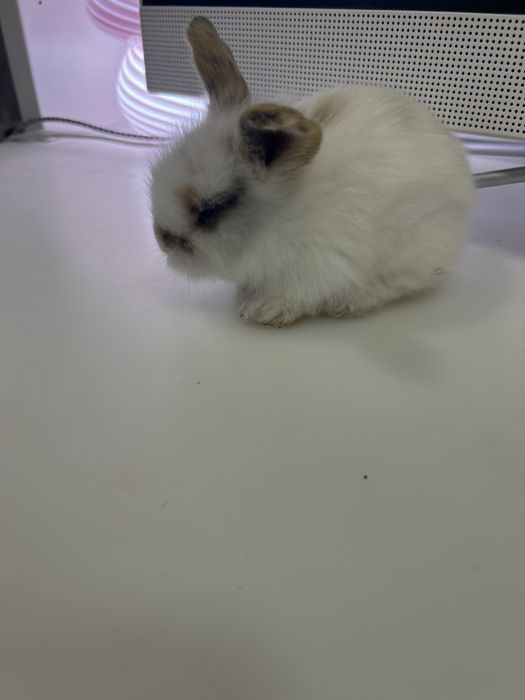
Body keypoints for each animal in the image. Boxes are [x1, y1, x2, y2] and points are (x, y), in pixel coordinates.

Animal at [150, 16, 475, 326]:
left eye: (210, 210)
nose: (161, 240)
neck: (279, 217)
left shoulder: (318, 266)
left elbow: (297, 295)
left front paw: (263, 310)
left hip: (415, 249)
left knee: (409, 281)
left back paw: (350, 303)